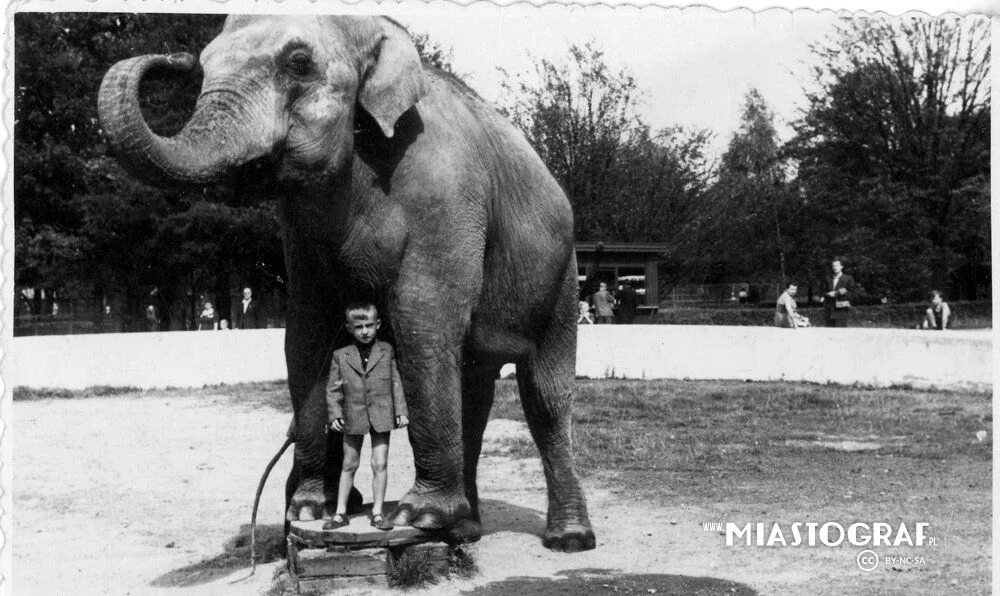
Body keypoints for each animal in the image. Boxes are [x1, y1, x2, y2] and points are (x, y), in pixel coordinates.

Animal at [97, 15, 592, 556]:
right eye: (203, 65)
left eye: (298, 63)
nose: (175, 58)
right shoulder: (298, 225)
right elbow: (306, 332)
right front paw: (308, 511)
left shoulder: (448, 199)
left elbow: (421, 322)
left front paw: (416, 516)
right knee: (475, 389)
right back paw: (465, 530)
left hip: (563, 276)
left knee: (544, 396)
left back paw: (567, 539)